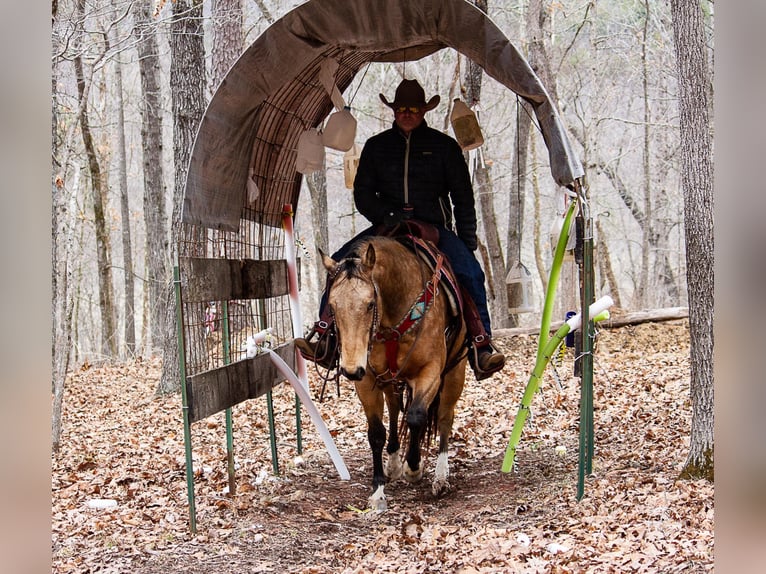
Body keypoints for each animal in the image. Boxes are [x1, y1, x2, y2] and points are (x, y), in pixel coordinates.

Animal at [320, 234, 468, 512]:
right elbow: (376, 432)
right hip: (389, 381)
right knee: (395, 408)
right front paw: (378, 490)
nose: (350, 369)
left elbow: (417, 417)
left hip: (455, 372)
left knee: (444, 416)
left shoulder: (430, 372)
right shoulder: (367, 380)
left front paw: (414, 467)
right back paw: (394, 461)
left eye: (370, 304)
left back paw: (440, 475)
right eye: (332, 306)